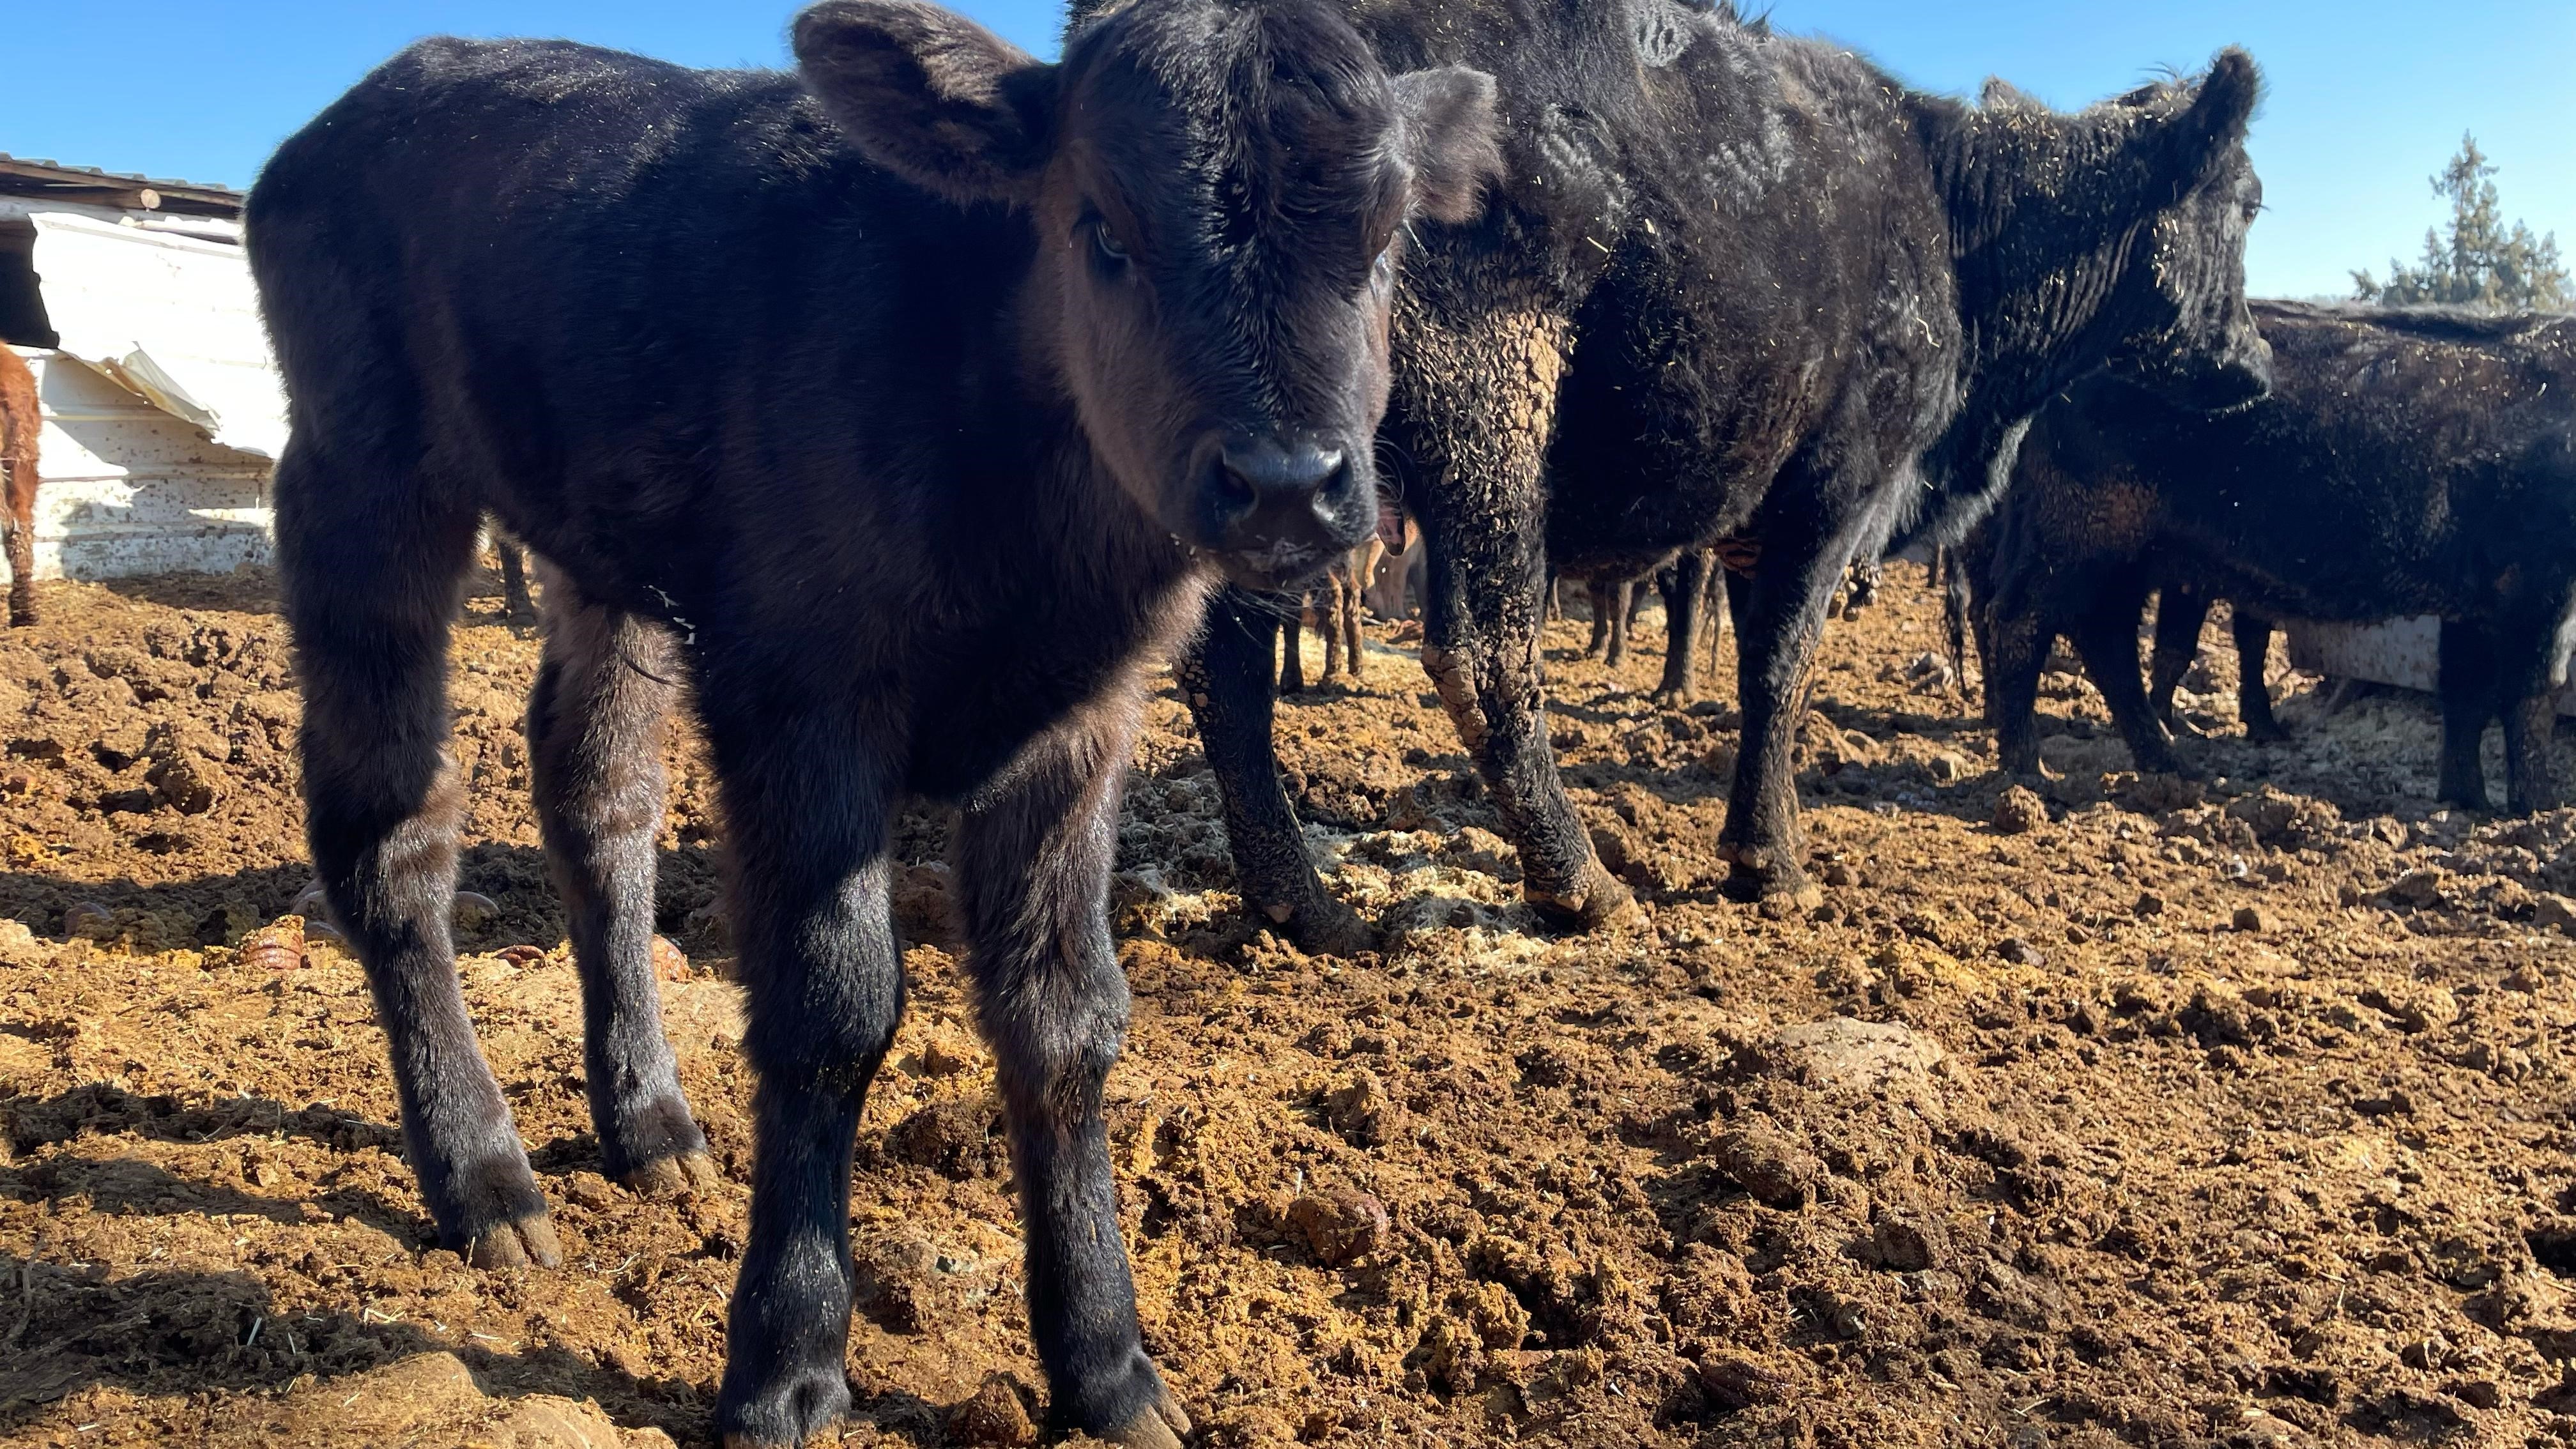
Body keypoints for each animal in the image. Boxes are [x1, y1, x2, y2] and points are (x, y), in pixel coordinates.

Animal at [249, 5, 1504, 1433]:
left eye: (1387, 239)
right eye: (1103, 229)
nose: (1288, 484)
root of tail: (395, 83)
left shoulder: (1082, 727)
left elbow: (1068, 1019)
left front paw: (1109, 1363)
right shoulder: (804, 693)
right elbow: (831, 1010)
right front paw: (785, 1365)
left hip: (603, 555)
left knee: (597, 793)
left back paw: (650, 1124)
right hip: (359, 474)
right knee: (388, 827)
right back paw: (482, 1176)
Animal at [1179, 0, 2267, 944]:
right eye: (2247, 203)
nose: (2257, 365)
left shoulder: (1753, 517)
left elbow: (1752, 657)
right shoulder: (1832, 487)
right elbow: (1782, 667)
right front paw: (1770, 862)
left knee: (1225, 666)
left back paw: (1299, 902)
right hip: (1487, 399)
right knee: (1484, 653)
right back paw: (1579, 880)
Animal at [1947, 302, 2576, 815]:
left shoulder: (2476, 603)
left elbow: (2467, 693)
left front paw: (2469, 801)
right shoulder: (2536, 587)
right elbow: (2531, 694)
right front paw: (2537, 812)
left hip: (2123, 557)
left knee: (2105, 640)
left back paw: (2173, 765)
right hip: (2080, 535)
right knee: (2021, 620)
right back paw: (2029, 771)